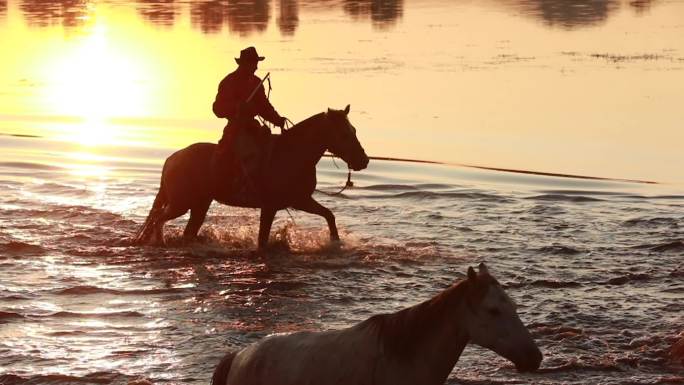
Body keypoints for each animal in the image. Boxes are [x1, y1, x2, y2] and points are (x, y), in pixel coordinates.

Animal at [134, 105, 368, 248]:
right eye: (344, 134)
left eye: (355, 130)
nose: (363, 160)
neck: (292, 154)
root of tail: (172, 159)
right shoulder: (271, 206)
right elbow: (262, 240)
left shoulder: (300, 200)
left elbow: (329, 215)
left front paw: (335, 242)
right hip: (180, 203)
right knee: (158, 218)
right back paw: (160, 242)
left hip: (199, 205)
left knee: (183, 229)